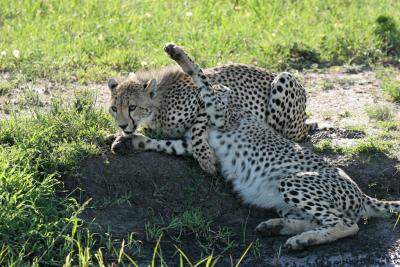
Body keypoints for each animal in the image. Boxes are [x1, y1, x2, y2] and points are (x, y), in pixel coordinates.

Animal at [106, 46, 316, 175]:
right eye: (114, 109)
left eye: (132, 107)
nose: (122, 125)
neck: (158, 107)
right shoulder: (183, 140)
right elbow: (164, 142)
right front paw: (122, 140)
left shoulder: (219, 97)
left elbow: (198, 130)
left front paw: (206, 159)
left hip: (284, 79)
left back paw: (177, 53)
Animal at [163, 43, 400, 251]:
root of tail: (361, 194)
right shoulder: (190, 141)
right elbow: (166, 144)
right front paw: (152, 141)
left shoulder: (221, 115)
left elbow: (201, 77)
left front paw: (178, 54)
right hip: (284, 203)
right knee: (321, 221)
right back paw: (280, 228)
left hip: (292, 182)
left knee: (346, 224)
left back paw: (302, 239)